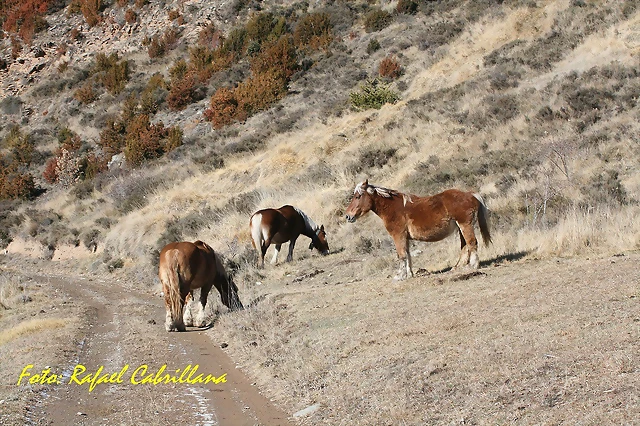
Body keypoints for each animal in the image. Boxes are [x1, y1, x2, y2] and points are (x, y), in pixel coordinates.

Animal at [344, 180, 490, 280]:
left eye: (358, 196)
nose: (348, 216)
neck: (393, 208)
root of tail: (470, 194)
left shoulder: (398, 235)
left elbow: (401, 255)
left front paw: (400, 276)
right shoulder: (405, 237)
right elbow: (407, 254)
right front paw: (409, 274)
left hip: (465, 225)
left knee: (471, 243)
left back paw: (473, 265)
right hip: (460, 228)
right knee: (464, 246)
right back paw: (457, 267)